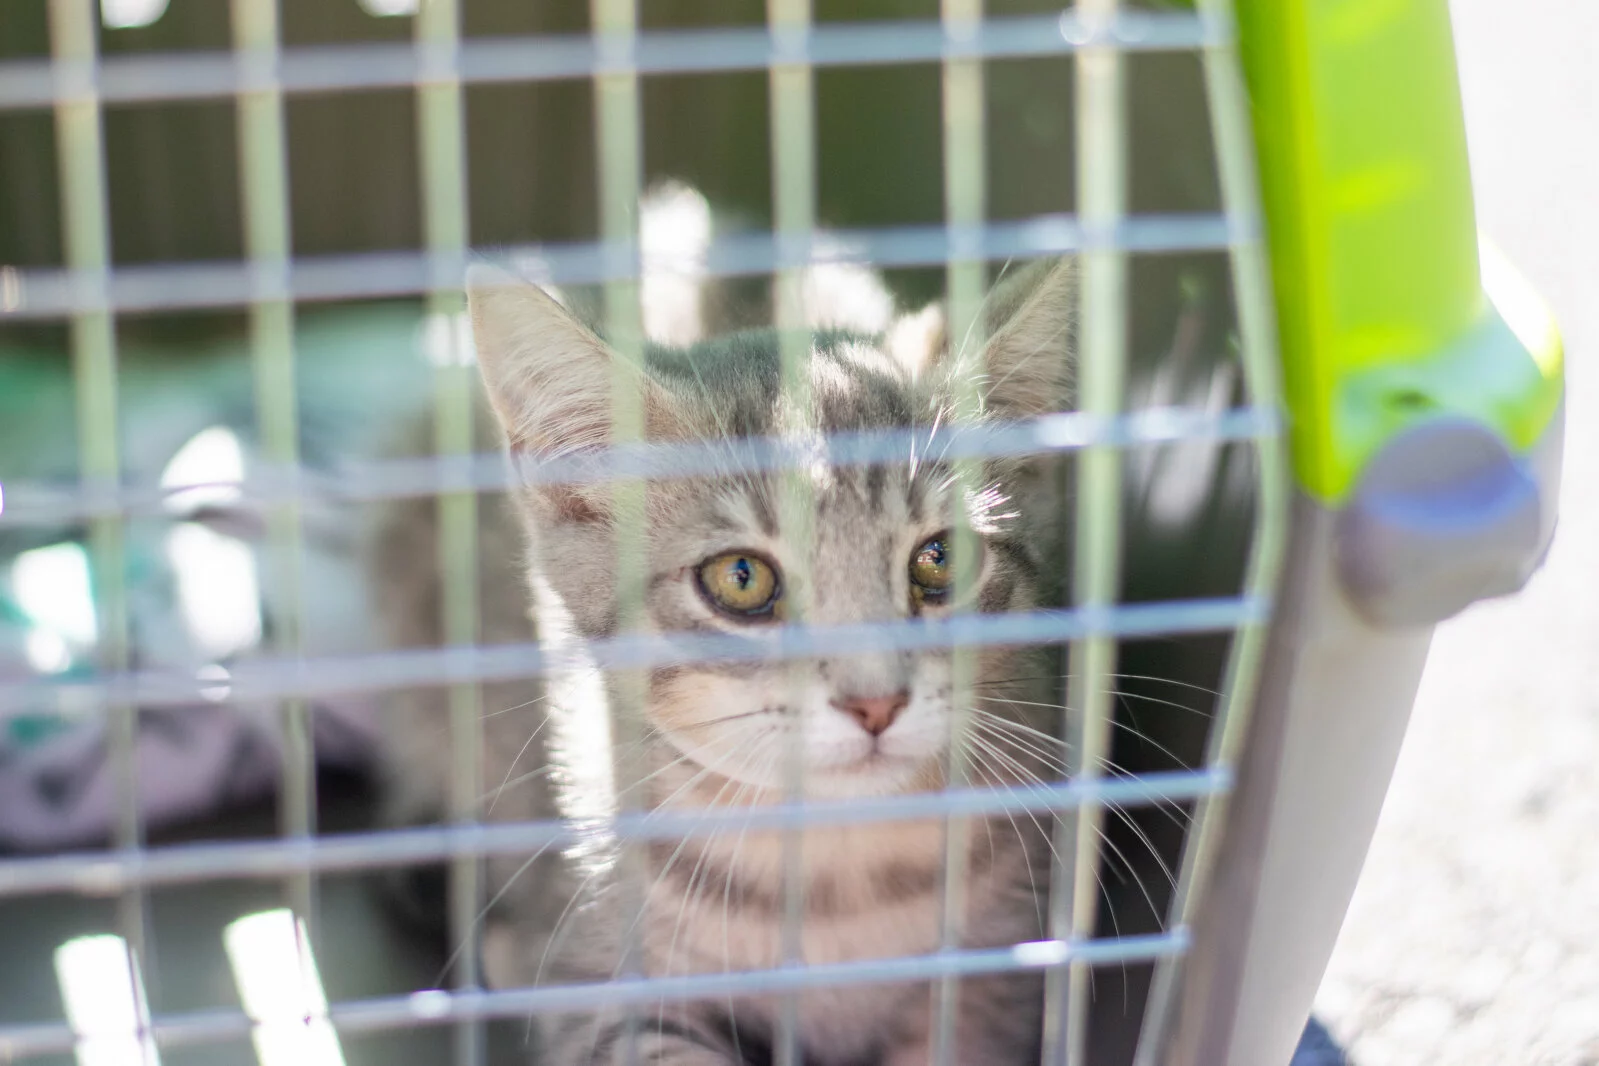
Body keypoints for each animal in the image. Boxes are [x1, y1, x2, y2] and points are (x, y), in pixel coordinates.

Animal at [377, 254, 1074, 1061]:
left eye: (940, 559)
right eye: (742, 579)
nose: (875, 702)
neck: (839, 877)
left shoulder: (991, 985)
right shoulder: (598, 985)